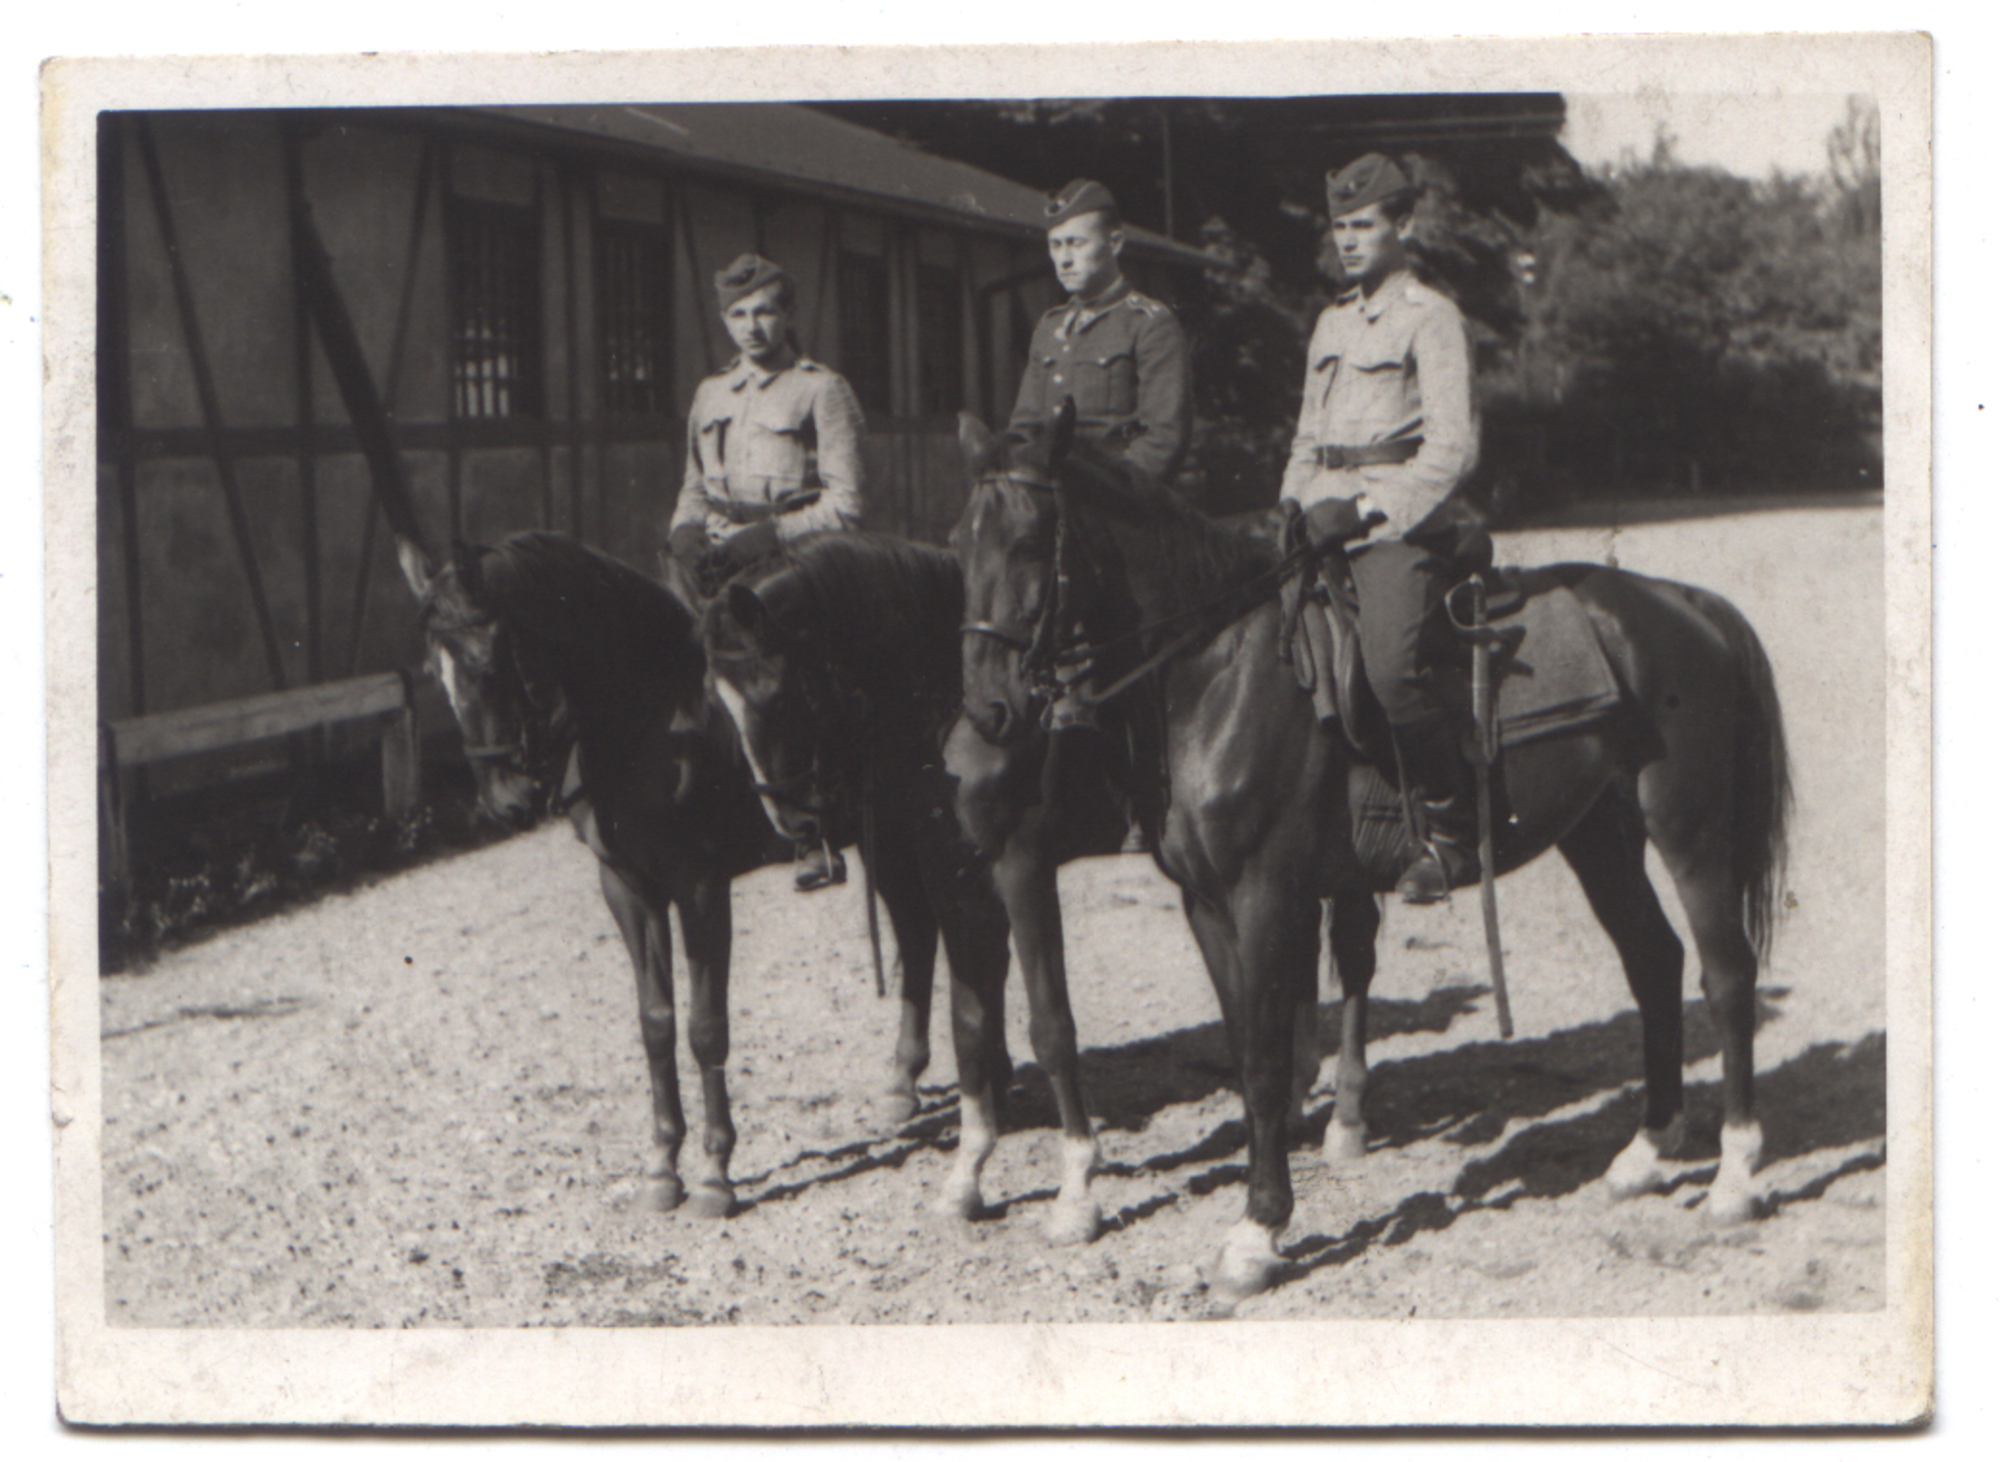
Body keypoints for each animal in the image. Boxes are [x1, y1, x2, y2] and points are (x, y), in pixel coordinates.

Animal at [394, 529, 958, 1217]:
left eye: (489, 665)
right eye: (436, 676)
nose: (506, 803)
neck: (653, 728)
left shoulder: (701, 890)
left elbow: (705, 1028)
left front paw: (716, 1172)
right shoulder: (628, 890)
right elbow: (657, 1023)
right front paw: (664, 1164)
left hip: (902, 823)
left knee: (921, 930)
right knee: (916, 932)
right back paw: (903, 1078)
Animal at [951, 411, 1791, 1299]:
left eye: (1033, 542)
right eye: (960, 544)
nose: (991, 711)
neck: (1220, 672)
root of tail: (1686, 605)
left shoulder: (1265, 895)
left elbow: (1265, 1059)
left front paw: (1257, 1232)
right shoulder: (1206, 902)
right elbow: (1245, 1050)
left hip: (1690, 828)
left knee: (1726, 975)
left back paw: (1735, 1177)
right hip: (1599, 837)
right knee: (1655, 962)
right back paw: (1645, 1151)